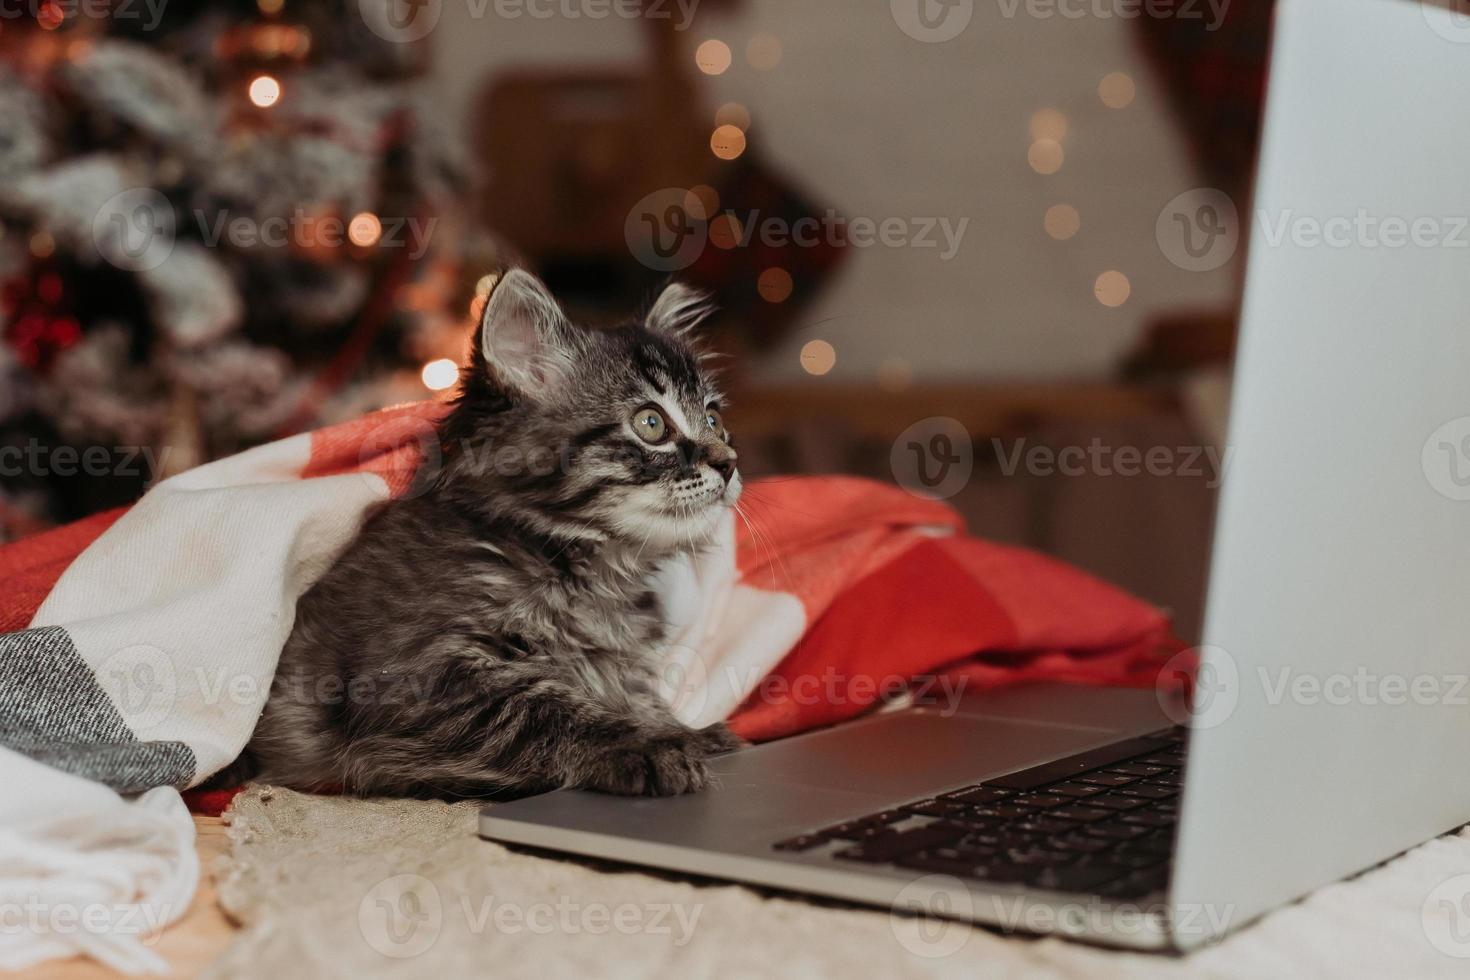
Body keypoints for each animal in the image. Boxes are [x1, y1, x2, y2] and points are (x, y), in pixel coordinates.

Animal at [245, 268, 746, 799]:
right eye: (651, 423)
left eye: (714, 420)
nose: (730, 462)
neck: (592, 569)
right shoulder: (415, 681)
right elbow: (541, 710)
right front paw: (649, 744)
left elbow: (631, 695)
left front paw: (683, 729)